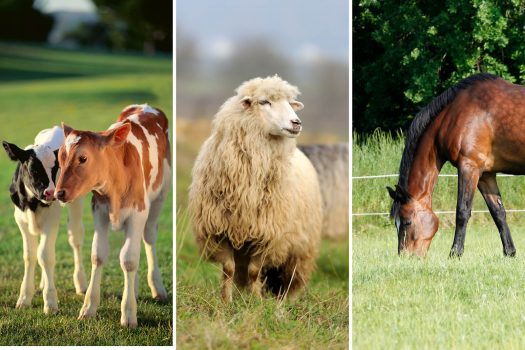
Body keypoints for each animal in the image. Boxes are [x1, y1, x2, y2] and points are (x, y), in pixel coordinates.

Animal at [2, 126, 86, 314]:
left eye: (56, 169)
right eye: (34, 170)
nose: (51, 193)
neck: (32, 202)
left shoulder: (52, 219)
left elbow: (46, 255)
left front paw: (50, 302)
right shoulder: (20, 220)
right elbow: (30, 255)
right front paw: (24, 298)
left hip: (75, 203)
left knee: (75, 239)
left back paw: (81, 283)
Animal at [54, 104, 171, 328]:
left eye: (83, 158)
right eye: (60, 157)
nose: (58, 193)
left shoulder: (138, 212)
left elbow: (129, 259)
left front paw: (129, 314)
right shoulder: (99, 211)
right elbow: (98, 255)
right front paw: (88, 308)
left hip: (159, 198)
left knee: (148, 238)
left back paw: (157, 288)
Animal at [187, 74, 320, 300]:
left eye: (290, 103)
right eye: (264, 102)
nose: (296, 123)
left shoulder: (269, 234)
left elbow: (255, 271)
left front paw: (255, 301)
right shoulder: (219, 231)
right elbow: (229, 269)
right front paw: (226, 301)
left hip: (300, 249)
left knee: (292, 278)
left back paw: (284, 301)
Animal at [384, 73, 520, 258]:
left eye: (406, 222)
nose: (405, 257)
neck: (454, 114)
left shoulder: (469, 168)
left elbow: (462, 211)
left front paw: (455, 253)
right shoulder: (485, 175)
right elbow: (498, 212)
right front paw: (509, 252)